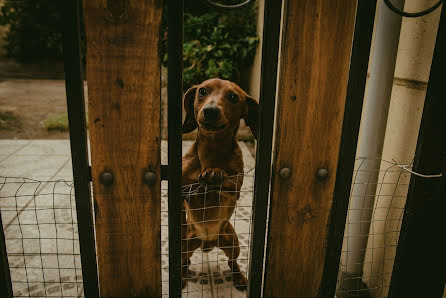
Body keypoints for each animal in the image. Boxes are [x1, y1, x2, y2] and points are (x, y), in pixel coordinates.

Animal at [181, 78, 258, 290]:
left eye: (233, 97)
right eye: (202, 91)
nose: (210, 111)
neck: (211, 150)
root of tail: (208, 242)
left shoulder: (235, 189)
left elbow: (227, 181)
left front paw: (215, 174)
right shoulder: (183, 189)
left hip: (232, 241)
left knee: (233, 262)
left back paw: (239, 277)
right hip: (184, 245)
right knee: (184, 261)